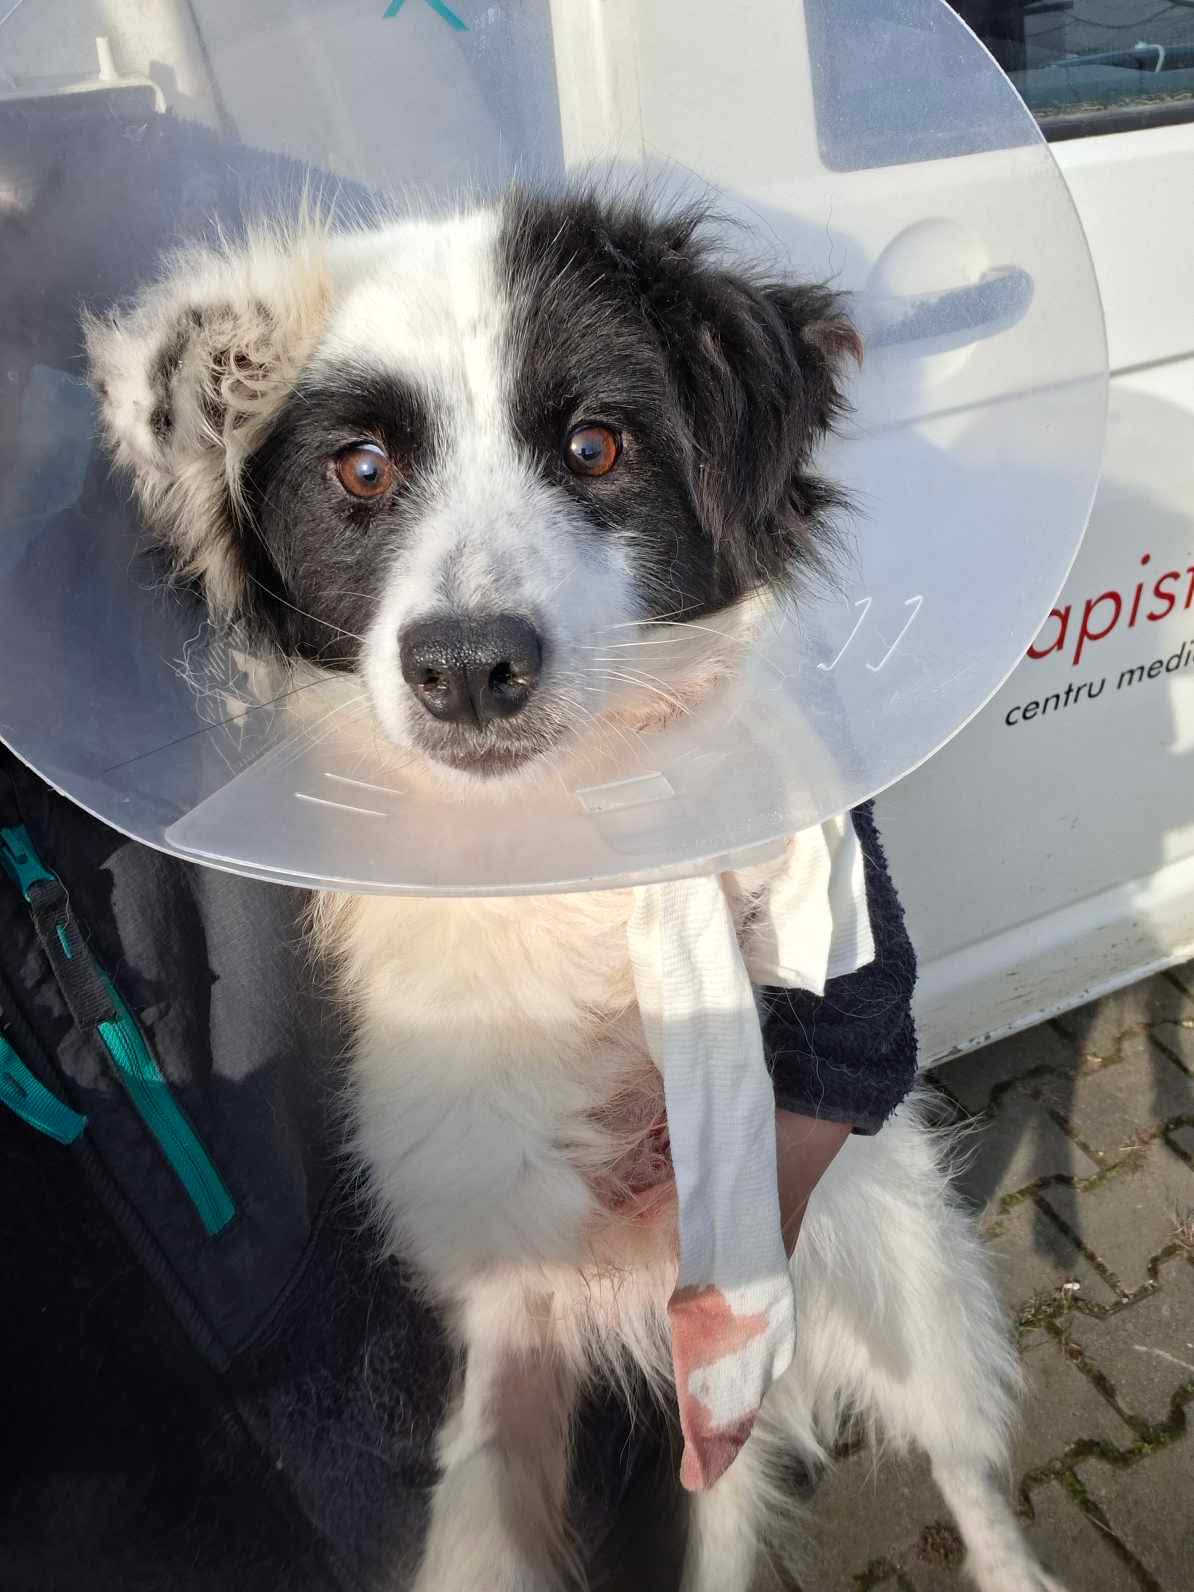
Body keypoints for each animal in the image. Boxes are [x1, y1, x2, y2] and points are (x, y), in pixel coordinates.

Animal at [86, 186, 1066, 1592]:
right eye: (362, 470)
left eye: (598, 447)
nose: (467, 667)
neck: (568, 820)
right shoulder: (505, 1283)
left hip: (904, 1278)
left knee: (966, 1460)